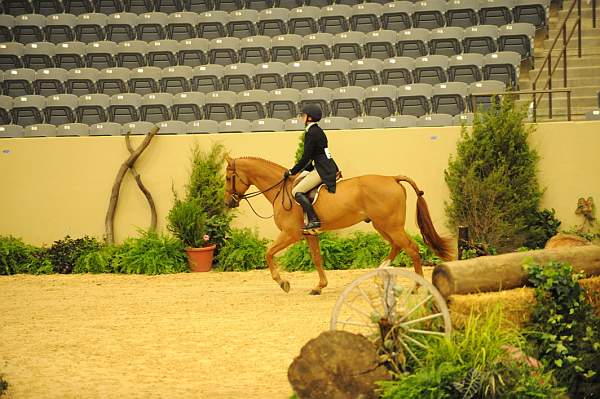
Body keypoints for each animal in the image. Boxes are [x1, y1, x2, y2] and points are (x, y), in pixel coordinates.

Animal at [225, 155, 454, 294]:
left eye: (228, 178)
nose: (228, 203)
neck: (283, 192)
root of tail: (392, 178)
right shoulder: (310, 235)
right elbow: (317, 259)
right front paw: (319, 287)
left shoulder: (291, 234)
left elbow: (268, 253)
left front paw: (283, 283)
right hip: (382, 226)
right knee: (398, 246)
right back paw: (381, 272)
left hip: (391, 226)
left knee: (412, 249)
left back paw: (416, 286)